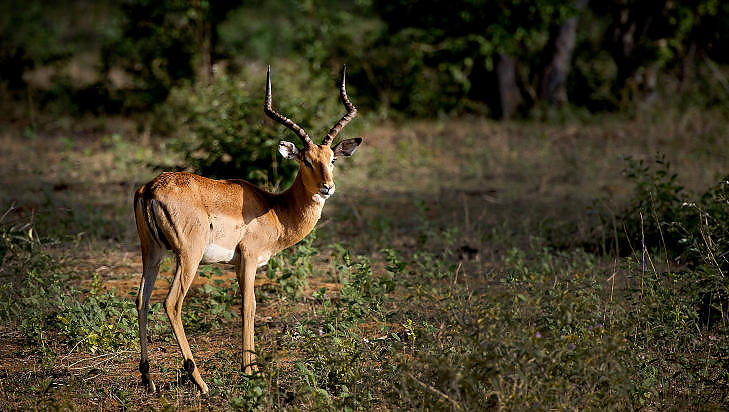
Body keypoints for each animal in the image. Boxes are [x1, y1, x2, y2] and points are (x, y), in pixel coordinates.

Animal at [133, 66, 361, 394]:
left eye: (331, 159)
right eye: (306, 160)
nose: (327, 187)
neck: (275, 209)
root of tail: (150, 188)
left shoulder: (237, 264)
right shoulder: (250, 260)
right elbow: (250, 306)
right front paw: (250, 370)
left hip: (151, 253)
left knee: (142, 300)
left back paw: (148, 378)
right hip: (188, 257)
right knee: (171, 303)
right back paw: (199, 380)